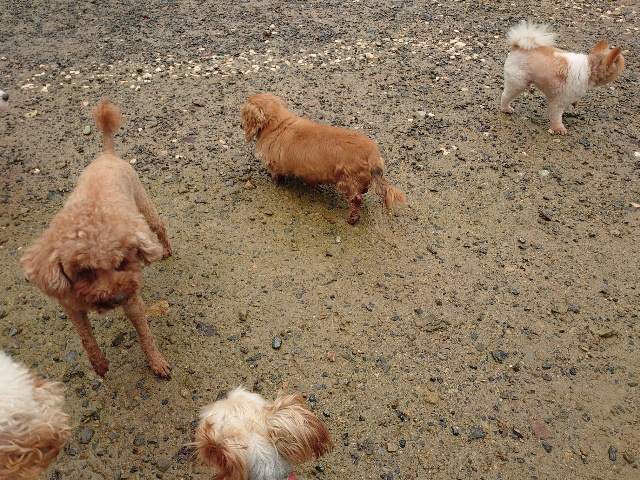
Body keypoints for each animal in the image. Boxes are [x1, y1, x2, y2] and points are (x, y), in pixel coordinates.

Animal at [20, 100, 173, 378]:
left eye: (123, 262)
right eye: (85, 271)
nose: (118, 298)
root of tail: (107, 154)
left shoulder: (133, 300)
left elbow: (145, 334)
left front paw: (157, 363)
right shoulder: (70, 306)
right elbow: (85, 337)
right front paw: (99, 364)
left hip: (142, 200)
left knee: (160, 225)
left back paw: (166, 248)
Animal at [240, 93, 406, 224]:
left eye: (243, 114)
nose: (240, 126)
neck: (276, 123)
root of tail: (373, 155)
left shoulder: (273, 165)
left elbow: (275, 174)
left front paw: (274, 181)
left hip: (346, 181)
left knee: (356, 199)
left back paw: (353, 218)